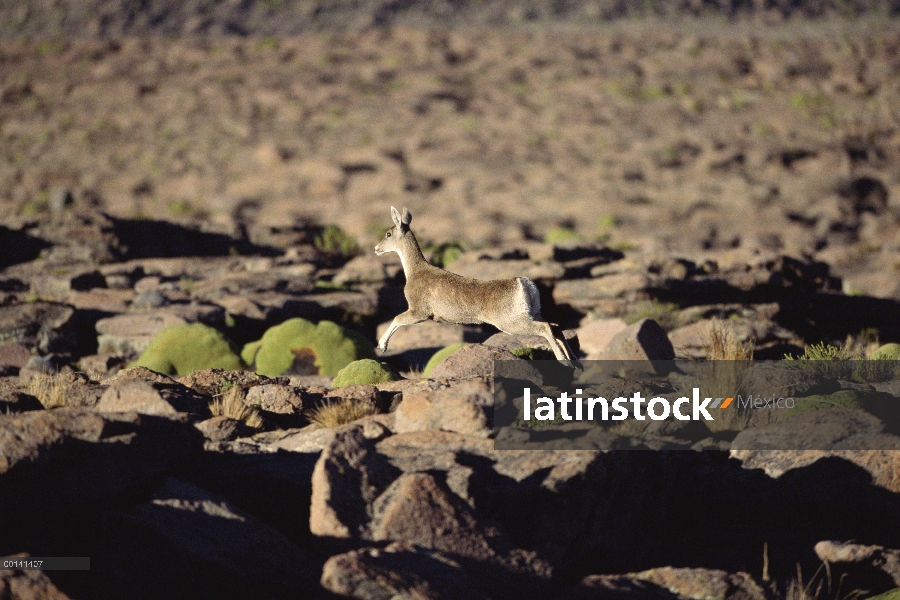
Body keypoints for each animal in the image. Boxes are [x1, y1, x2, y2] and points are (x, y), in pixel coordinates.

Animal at [374, 206, 576, 364]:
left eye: (388, 233)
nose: (376, 249)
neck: (414, 271)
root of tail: (523, 283)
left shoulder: (419, 311)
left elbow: (397, 318)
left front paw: (381, 346)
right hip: (533, 313)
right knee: (555, 325)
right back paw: (574, 360)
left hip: (511, 322)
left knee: (546, 328)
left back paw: (564, 361)